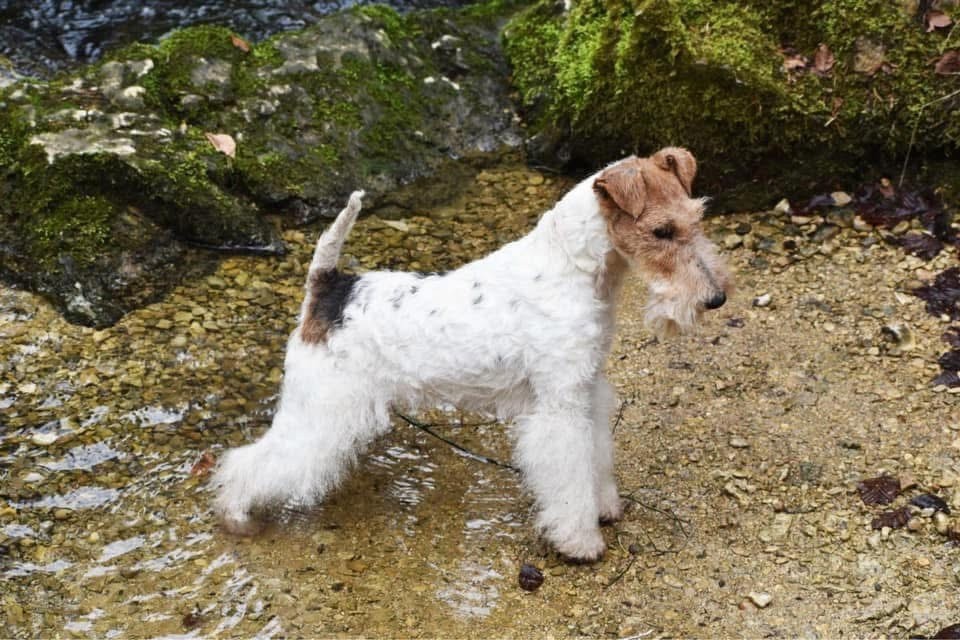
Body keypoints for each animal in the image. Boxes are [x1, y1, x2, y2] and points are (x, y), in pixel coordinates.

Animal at [214, 149, 732, 560]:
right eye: (661, 231)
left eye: (697, 216)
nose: (715, 298)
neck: (572, 269)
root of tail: (330, 287)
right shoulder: (559, 405)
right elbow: (568, 476)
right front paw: (580, 542)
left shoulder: (586, 389)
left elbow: (596, 456)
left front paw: (604, 506)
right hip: (320, 409)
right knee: (250, 462)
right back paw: (236, 515)